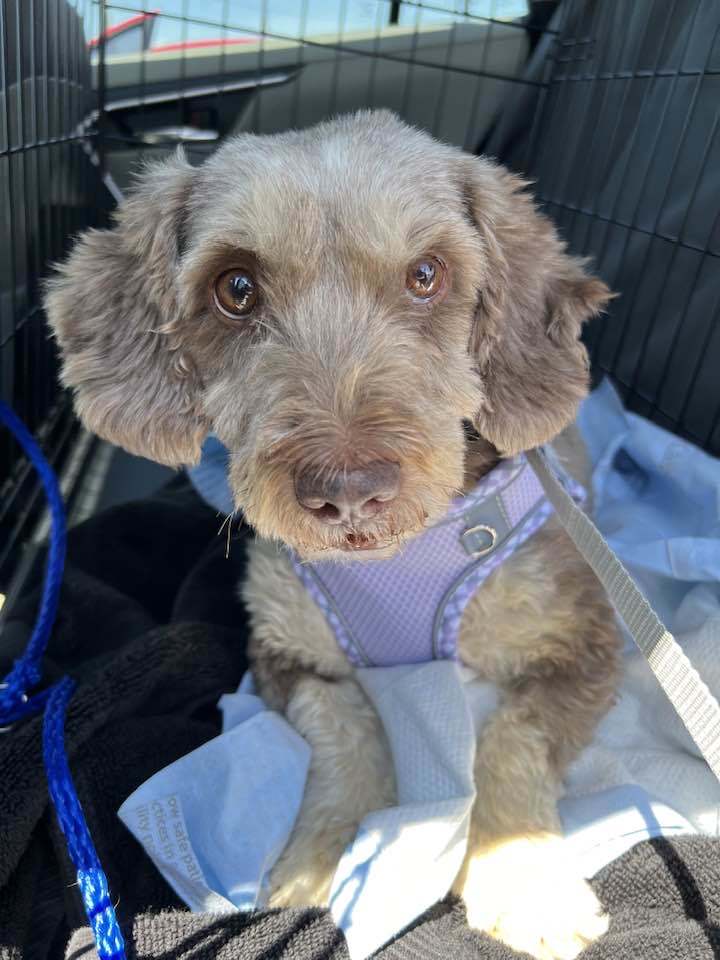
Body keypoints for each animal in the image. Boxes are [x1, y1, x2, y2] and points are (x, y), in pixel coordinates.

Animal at [45, 110, 620, 960]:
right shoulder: (284, 654)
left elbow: (513, 736)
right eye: (235, 288)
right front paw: (316, 862)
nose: (347, 492)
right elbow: (344, 730)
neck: (395, 562)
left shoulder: (585, 644)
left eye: (427, 274)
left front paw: (525, 878)